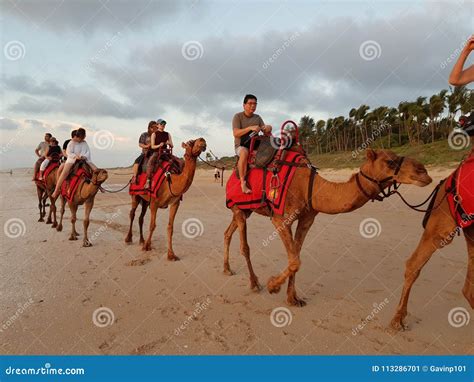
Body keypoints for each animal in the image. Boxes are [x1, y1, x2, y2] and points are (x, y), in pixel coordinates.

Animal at [222, 148, 434, 306]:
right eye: (390, 162)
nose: (423, 171)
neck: (311, 189)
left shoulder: (307, 219)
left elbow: (295, 257)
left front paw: (293, 298)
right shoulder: (281, 219)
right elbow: (295, 260)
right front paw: (273, 286)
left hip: (244, 210)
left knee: (227, 233)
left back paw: (227, 269)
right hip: (239, 207)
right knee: (244, 246)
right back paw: (254, 283)